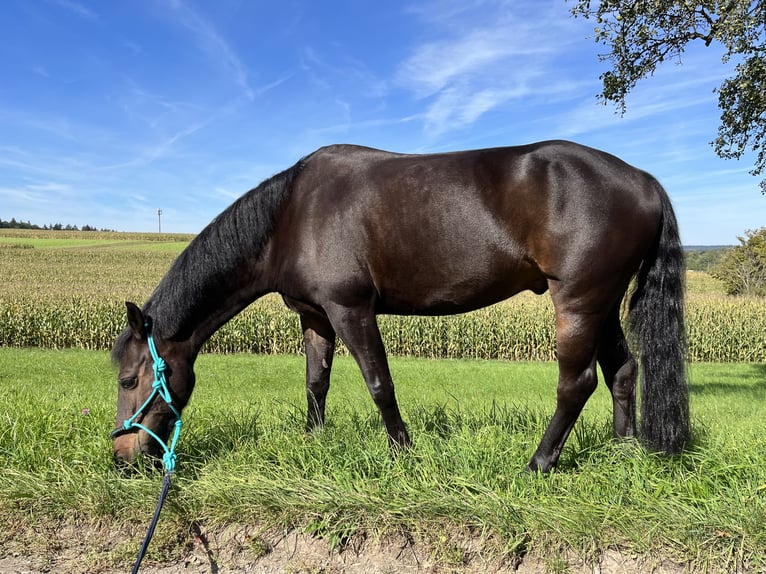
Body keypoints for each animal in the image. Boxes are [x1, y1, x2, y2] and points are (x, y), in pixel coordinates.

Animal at [111, 140, 689, 473]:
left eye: (127, 380)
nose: (122, 457)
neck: (291, 217)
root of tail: (643, 180)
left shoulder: (350, 309)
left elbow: (378, 383)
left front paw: (402, 452)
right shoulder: (315, 317)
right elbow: (315, 383)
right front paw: (314, 441)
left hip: (579, 300)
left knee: (578, 382)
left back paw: (539, 464)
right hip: (603, 303)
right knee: (622, 370)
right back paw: (623, 451)